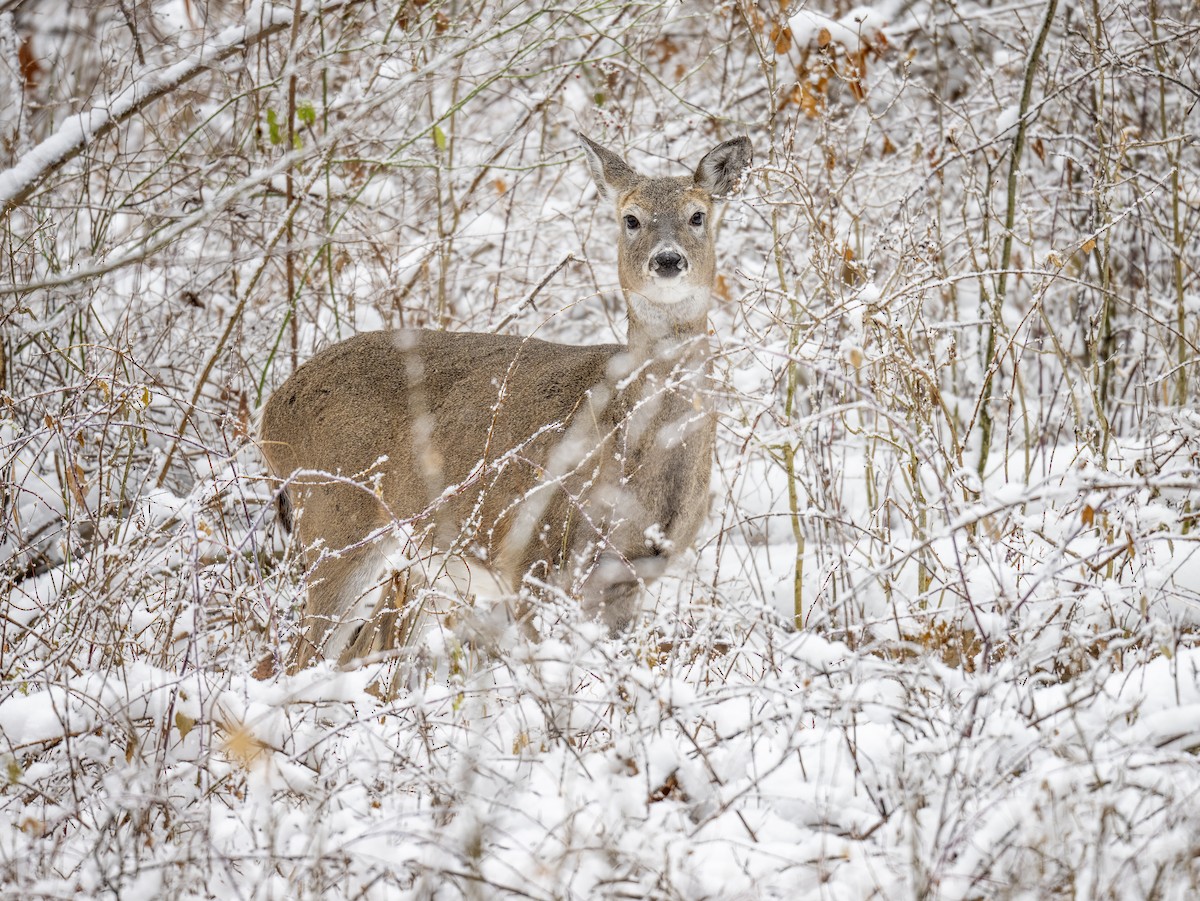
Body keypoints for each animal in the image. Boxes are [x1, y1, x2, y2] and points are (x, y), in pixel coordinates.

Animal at [259, 132, 752, 670]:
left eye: (698, 215)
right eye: (631, 218)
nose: (667, 260)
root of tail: (270, 410)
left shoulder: (630, 578)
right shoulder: (530, 559)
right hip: (332, 520)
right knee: (296, 659)